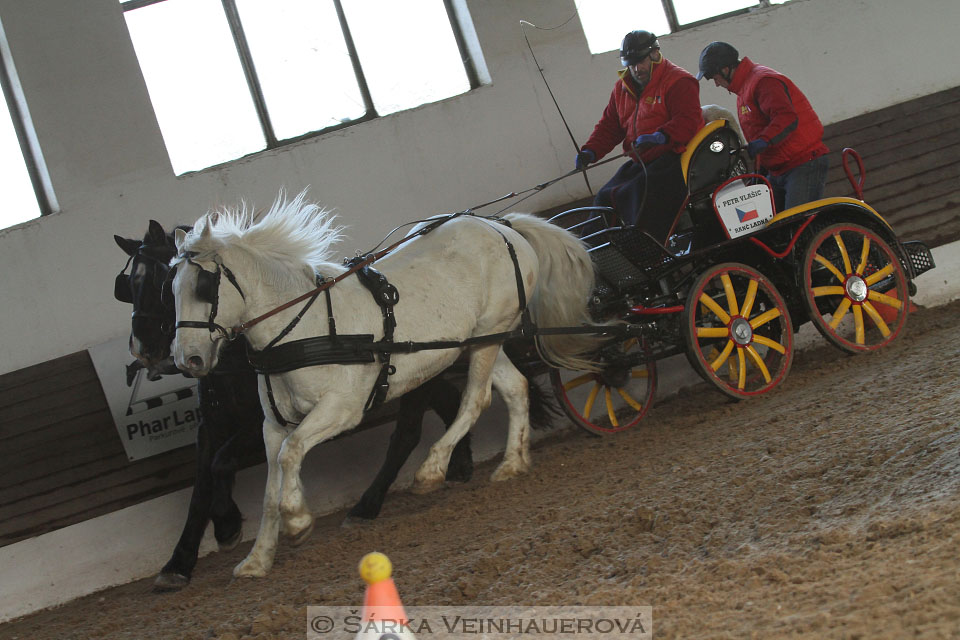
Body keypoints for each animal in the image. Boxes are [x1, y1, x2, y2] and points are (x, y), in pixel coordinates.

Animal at [113, 220, 472, 592]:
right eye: (128, 286)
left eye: (156, 282)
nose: (144, 349)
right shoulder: (217, 425)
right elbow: (203, 485)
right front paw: (182, 560)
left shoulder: (269, 423)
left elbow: (226, 462)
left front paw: (231, 523)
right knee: (449, 399)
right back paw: (458, 464)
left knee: (407, 433)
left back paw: (369, 504)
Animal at [169, 192, 596, 576]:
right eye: (172, 290)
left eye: (204, 286)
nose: (187, 359)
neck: (303, 329)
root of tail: (500, 225)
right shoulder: (273, 425)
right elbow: (270, 488)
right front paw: (257, 559)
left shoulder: (341, 410)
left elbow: (292, 454)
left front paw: (298, 521)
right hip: (481, 339)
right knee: (515, 388)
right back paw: (512, 463)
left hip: (490, 333)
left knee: (476, 399)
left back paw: (432, 471)